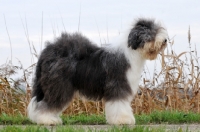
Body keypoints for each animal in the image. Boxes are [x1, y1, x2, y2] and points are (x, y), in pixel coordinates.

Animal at [26, 17, 167, 125]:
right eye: (152, 33)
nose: (165, 40)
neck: (131, 52)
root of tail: (46, 52)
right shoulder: (118, 85)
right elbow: (119, 104)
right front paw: (123, 120)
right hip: (59, 85)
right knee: (47, 104)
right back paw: (47, 120)